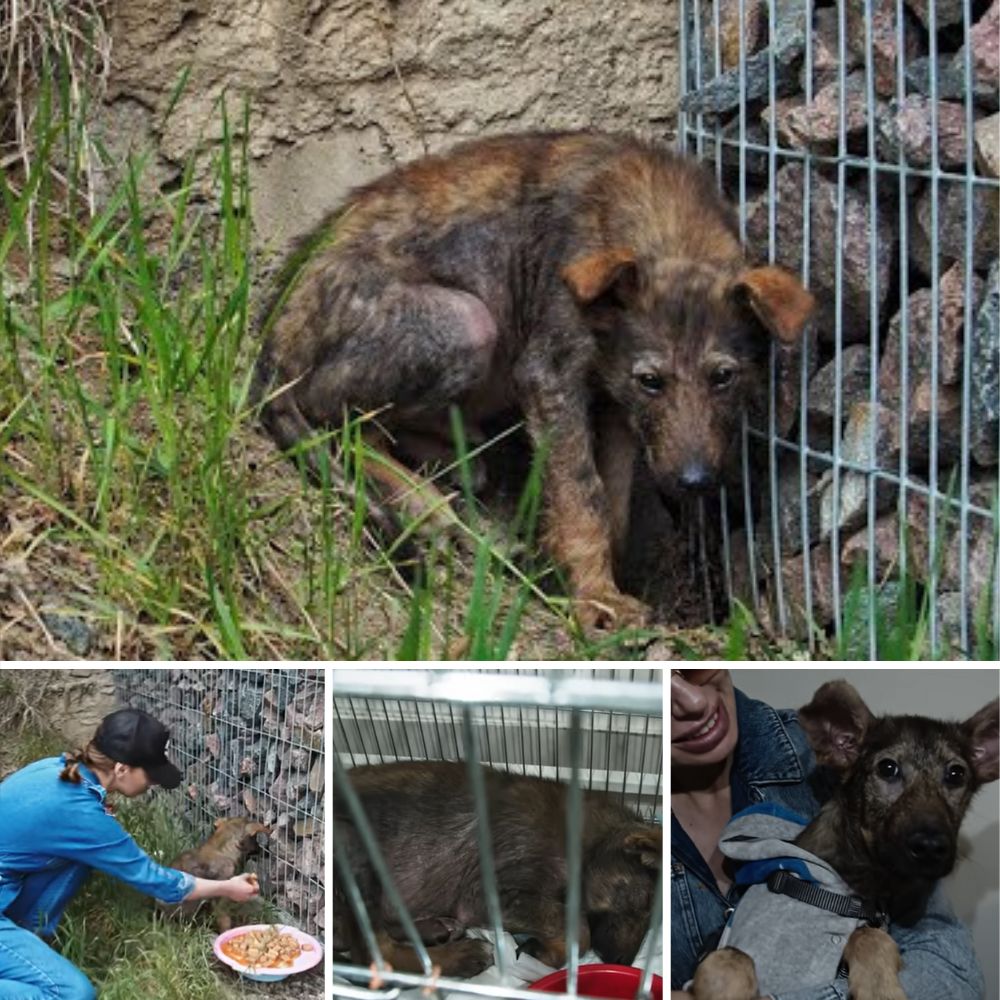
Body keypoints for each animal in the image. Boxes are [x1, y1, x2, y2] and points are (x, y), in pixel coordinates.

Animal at [252, 131, 812, 632]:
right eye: (652, 380)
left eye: (724, 377)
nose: (694, 482)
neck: (663, 228)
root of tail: (272, 338)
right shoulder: (551, 376)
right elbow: (581, 493)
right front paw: (597, 601)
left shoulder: (616, 404)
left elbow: (613, 503)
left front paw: (598, 580)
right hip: (465, 321)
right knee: (335, 417)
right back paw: (426, 506)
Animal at [332, 756, 664, 976]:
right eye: (646, 900)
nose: (622, 963)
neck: (586, 842)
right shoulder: (485, 895)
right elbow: (577, 927)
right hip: (351, 845)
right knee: (372, 952)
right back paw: (459, 957)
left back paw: (436, 930)